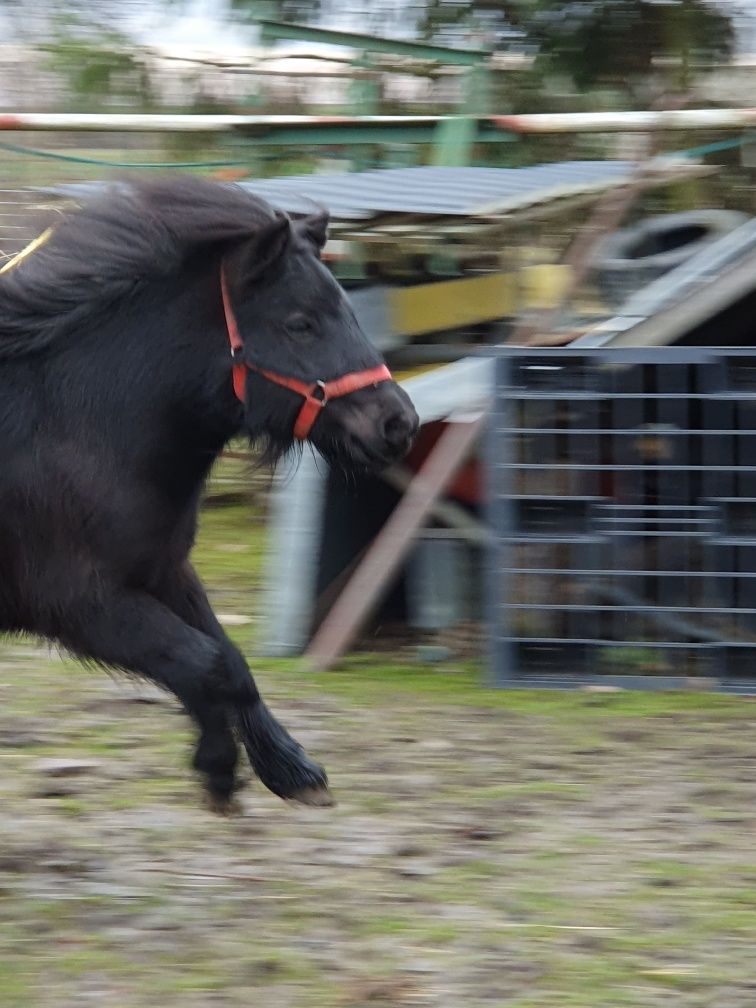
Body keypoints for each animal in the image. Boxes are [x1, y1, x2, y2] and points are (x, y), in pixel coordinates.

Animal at [0, 175, 417, 810]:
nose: (399, 424)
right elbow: (209, 663)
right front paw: (219, 768)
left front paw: (290, 769)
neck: (70, 426)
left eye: (350, 310)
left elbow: (231, 662)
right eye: (300, 323)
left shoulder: (163, 571)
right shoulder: (79, 602)